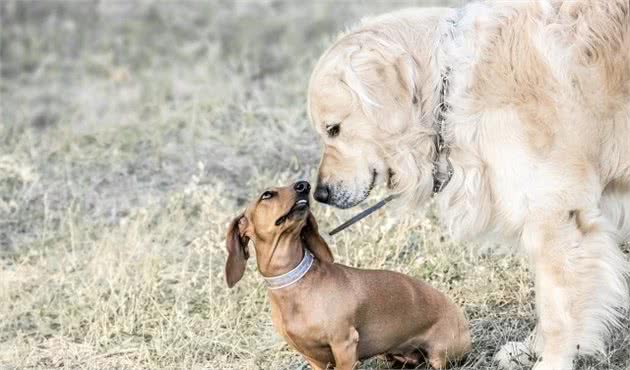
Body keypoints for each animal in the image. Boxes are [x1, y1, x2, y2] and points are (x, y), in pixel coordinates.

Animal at [225, 181, 472, 368]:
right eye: (267, 194)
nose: (304, 185)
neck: (294, 284)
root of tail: (460, 316)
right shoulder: (313, 359)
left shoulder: (343, 344)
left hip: (439, 354)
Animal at [308, 1, 630, 368]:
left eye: (333, 129)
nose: (320, 193)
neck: (449, 88)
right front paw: (530, 347)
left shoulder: (556, 216)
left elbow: (558, 311)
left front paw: (551, 360)